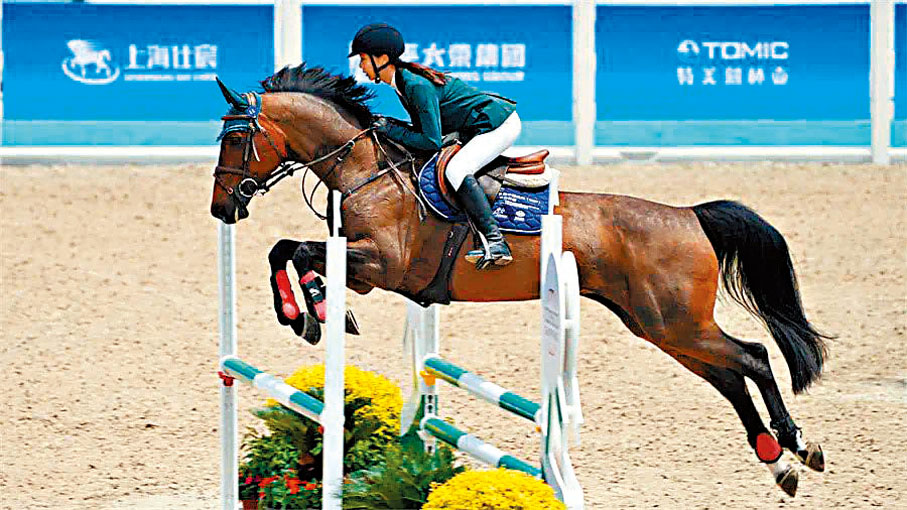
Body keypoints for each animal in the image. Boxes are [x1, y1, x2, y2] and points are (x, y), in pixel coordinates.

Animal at [209, 64, 828, 496]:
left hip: (676, 323)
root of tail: (689, 215)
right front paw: (308, 313)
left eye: (236, 139)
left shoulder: (381, 265)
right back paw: (777, 460)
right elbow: (285, 251)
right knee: (728, 376)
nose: (222, 207)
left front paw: (314, 312)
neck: (368, 171)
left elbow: (297, 251)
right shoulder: (364, 268)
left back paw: (798, 445)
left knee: (751, 357)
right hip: (662, 327)